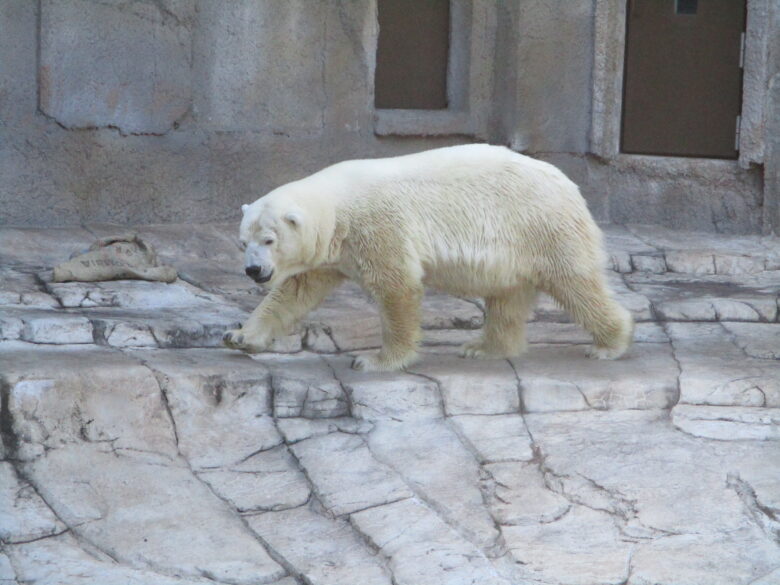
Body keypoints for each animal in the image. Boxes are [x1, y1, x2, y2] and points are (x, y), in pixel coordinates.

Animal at [221, 145, 632, 370]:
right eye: (243, 242)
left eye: (269, 239)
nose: (254, 270)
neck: (338, 206)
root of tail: (568, 184)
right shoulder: (332, 251)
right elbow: (294, 291)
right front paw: (239, 335)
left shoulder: (378, 226)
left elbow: (396, 287)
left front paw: (376, 361)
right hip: (515, 247)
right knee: (508, 297)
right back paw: (484, 348)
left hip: (541, 225)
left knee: (575, 282)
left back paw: (609, 343)